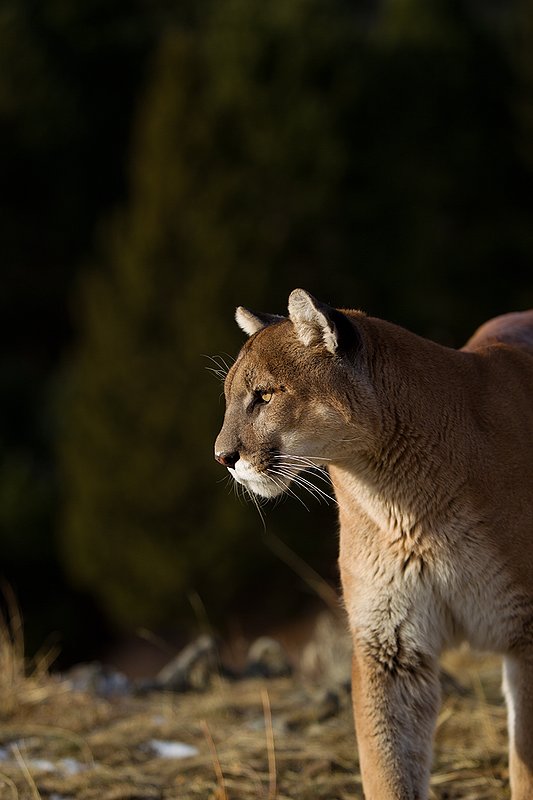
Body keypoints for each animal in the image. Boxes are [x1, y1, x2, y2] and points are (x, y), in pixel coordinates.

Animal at [214, 288, 533, 799]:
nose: (223, 456)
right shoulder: (390, 643)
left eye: (264, 395)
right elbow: (389, 767)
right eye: (227, 397)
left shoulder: (526, 630)